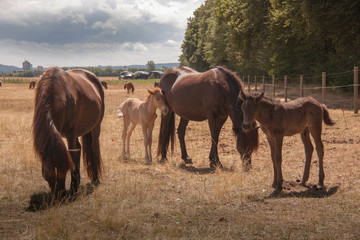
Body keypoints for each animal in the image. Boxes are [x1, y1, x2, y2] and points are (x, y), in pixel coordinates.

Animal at [32, 66, 105, 198]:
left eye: (65, 169)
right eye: (50, 171)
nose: (60, 195)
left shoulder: (72, 132)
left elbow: (73, 156)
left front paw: (73, 188)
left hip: (96, 127)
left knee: (94, 147)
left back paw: (95, 178)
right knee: (80, 147)